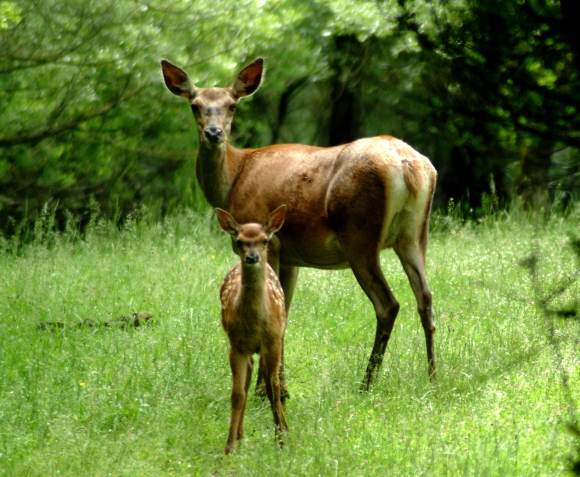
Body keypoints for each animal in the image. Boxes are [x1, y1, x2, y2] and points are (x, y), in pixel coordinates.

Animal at [161, 56, 438, 390]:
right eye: (195, 105)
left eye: (232, 105)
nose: (214, 133)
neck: (234, 179)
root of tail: (407, 164)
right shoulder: (291, 255)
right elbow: (285, 309)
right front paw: (282, 387)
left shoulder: (268, 241)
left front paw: (264, 390)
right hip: (414, 234)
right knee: (425, 297)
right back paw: (433, 378)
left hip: (359, 233)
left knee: (388, 304)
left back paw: (366, 383)